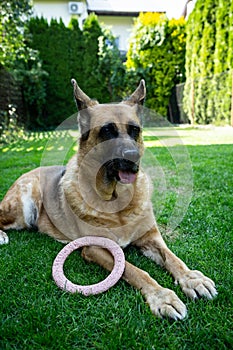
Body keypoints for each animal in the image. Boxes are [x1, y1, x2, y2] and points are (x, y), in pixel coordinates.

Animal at [0, 80, 217, 320]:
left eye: (134, 130)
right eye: (107, 130)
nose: (133, 157)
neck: (118, 202)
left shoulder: (150, 237)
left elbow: (173, 258)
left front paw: (192, 279)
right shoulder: (95, 249)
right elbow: (135, 271)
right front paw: (162, 297)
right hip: (23, 207)